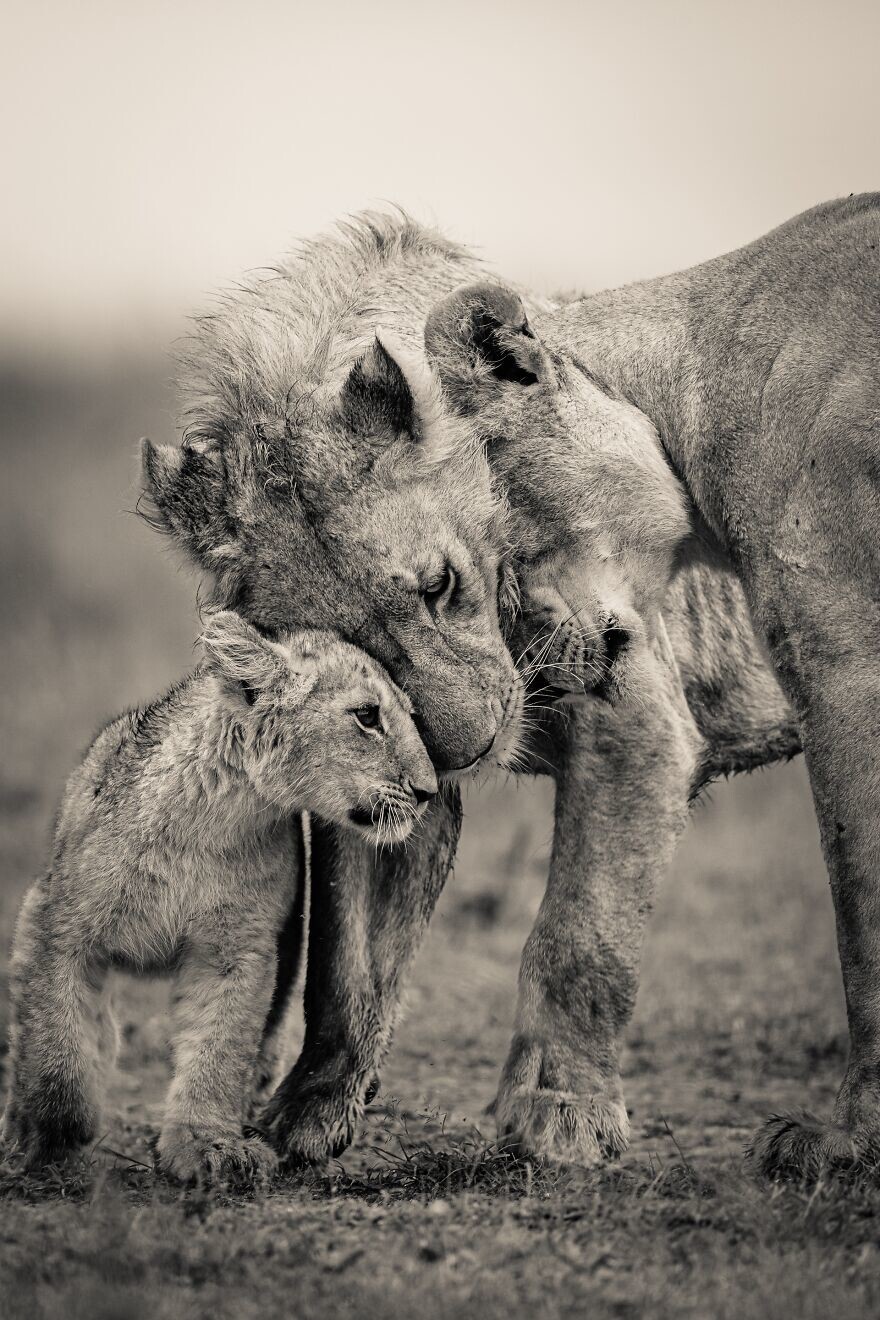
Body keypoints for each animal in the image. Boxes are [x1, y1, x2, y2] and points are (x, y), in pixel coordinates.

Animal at [2, 609, 438, 1188]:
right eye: (367, 716)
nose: (429, 790)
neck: (219, 817)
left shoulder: (238, 950)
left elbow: (220, 1049)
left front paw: (205, 1146)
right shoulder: (57, 925)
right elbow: (58, 1044)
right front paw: (46, 1142)